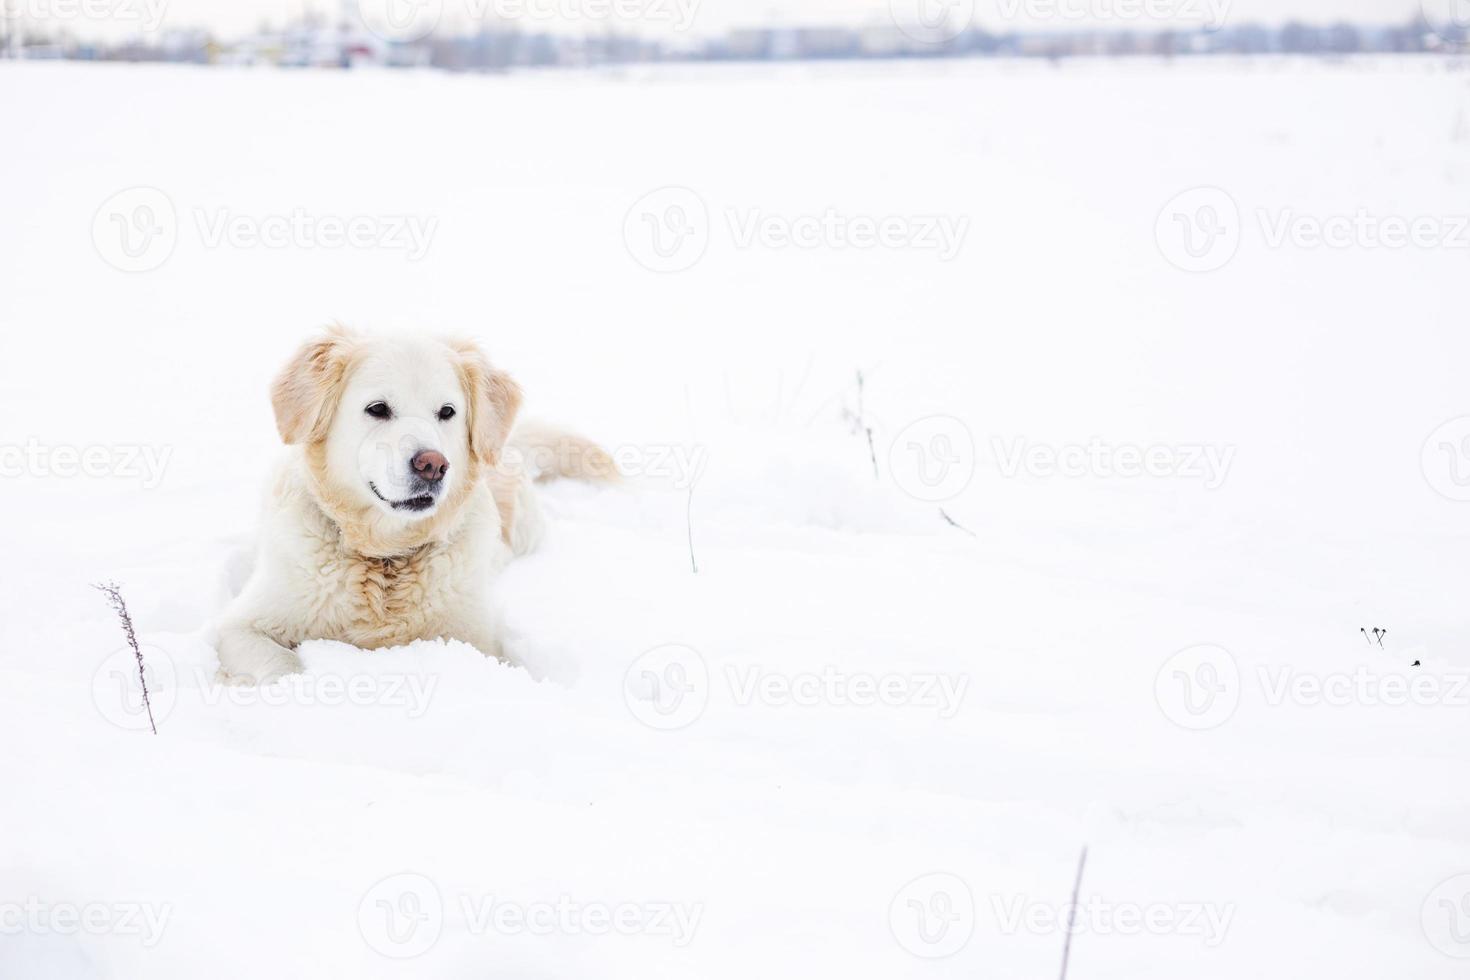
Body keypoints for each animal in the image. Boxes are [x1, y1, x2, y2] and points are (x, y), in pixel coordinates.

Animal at [214, 326, 611, 687]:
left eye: (447, 412)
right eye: (377, 408)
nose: (432, 465)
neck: (386, 557)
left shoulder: (478, 641)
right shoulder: (239, 626)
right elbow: (281, 664)